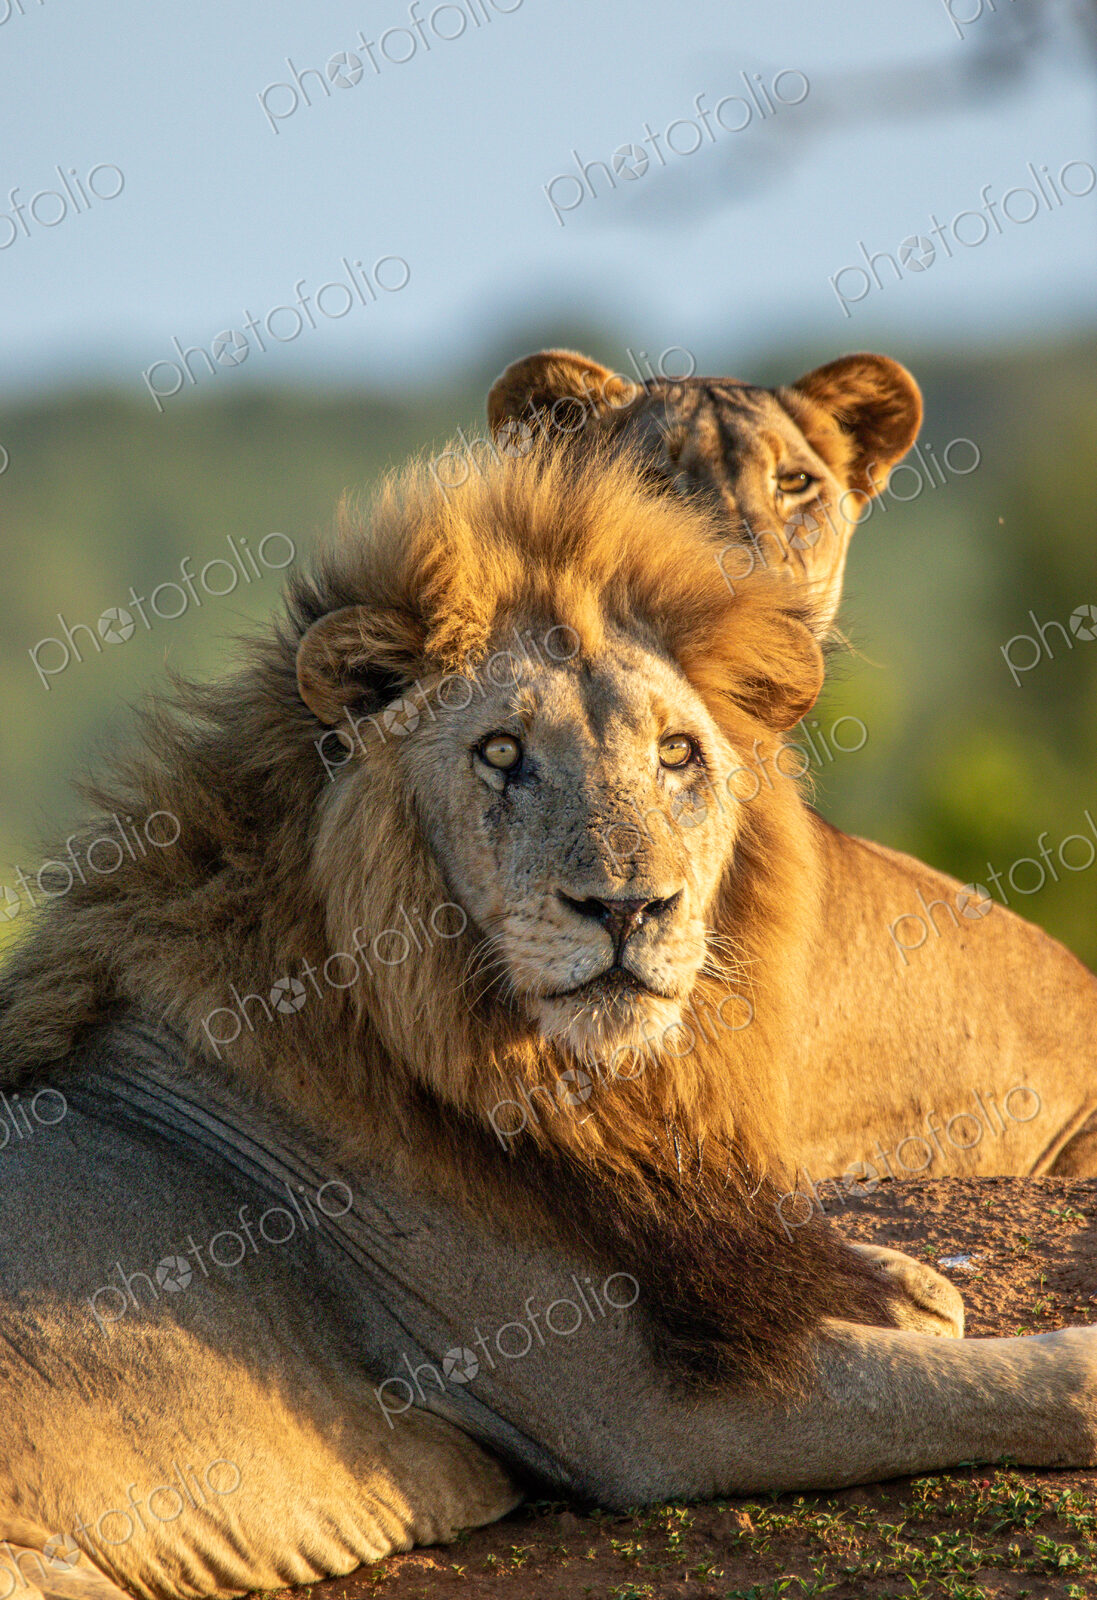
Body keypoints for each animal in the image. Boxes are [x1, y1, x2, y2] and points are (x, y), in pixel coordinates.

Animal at [1, 443, 1097, 1600]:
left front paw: (901, 1288)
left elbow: (881, 1288)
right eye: (499, 752)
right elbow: (1006, 1384)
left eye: (676, 753)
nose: (626, 907)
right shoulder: (644, 1411)